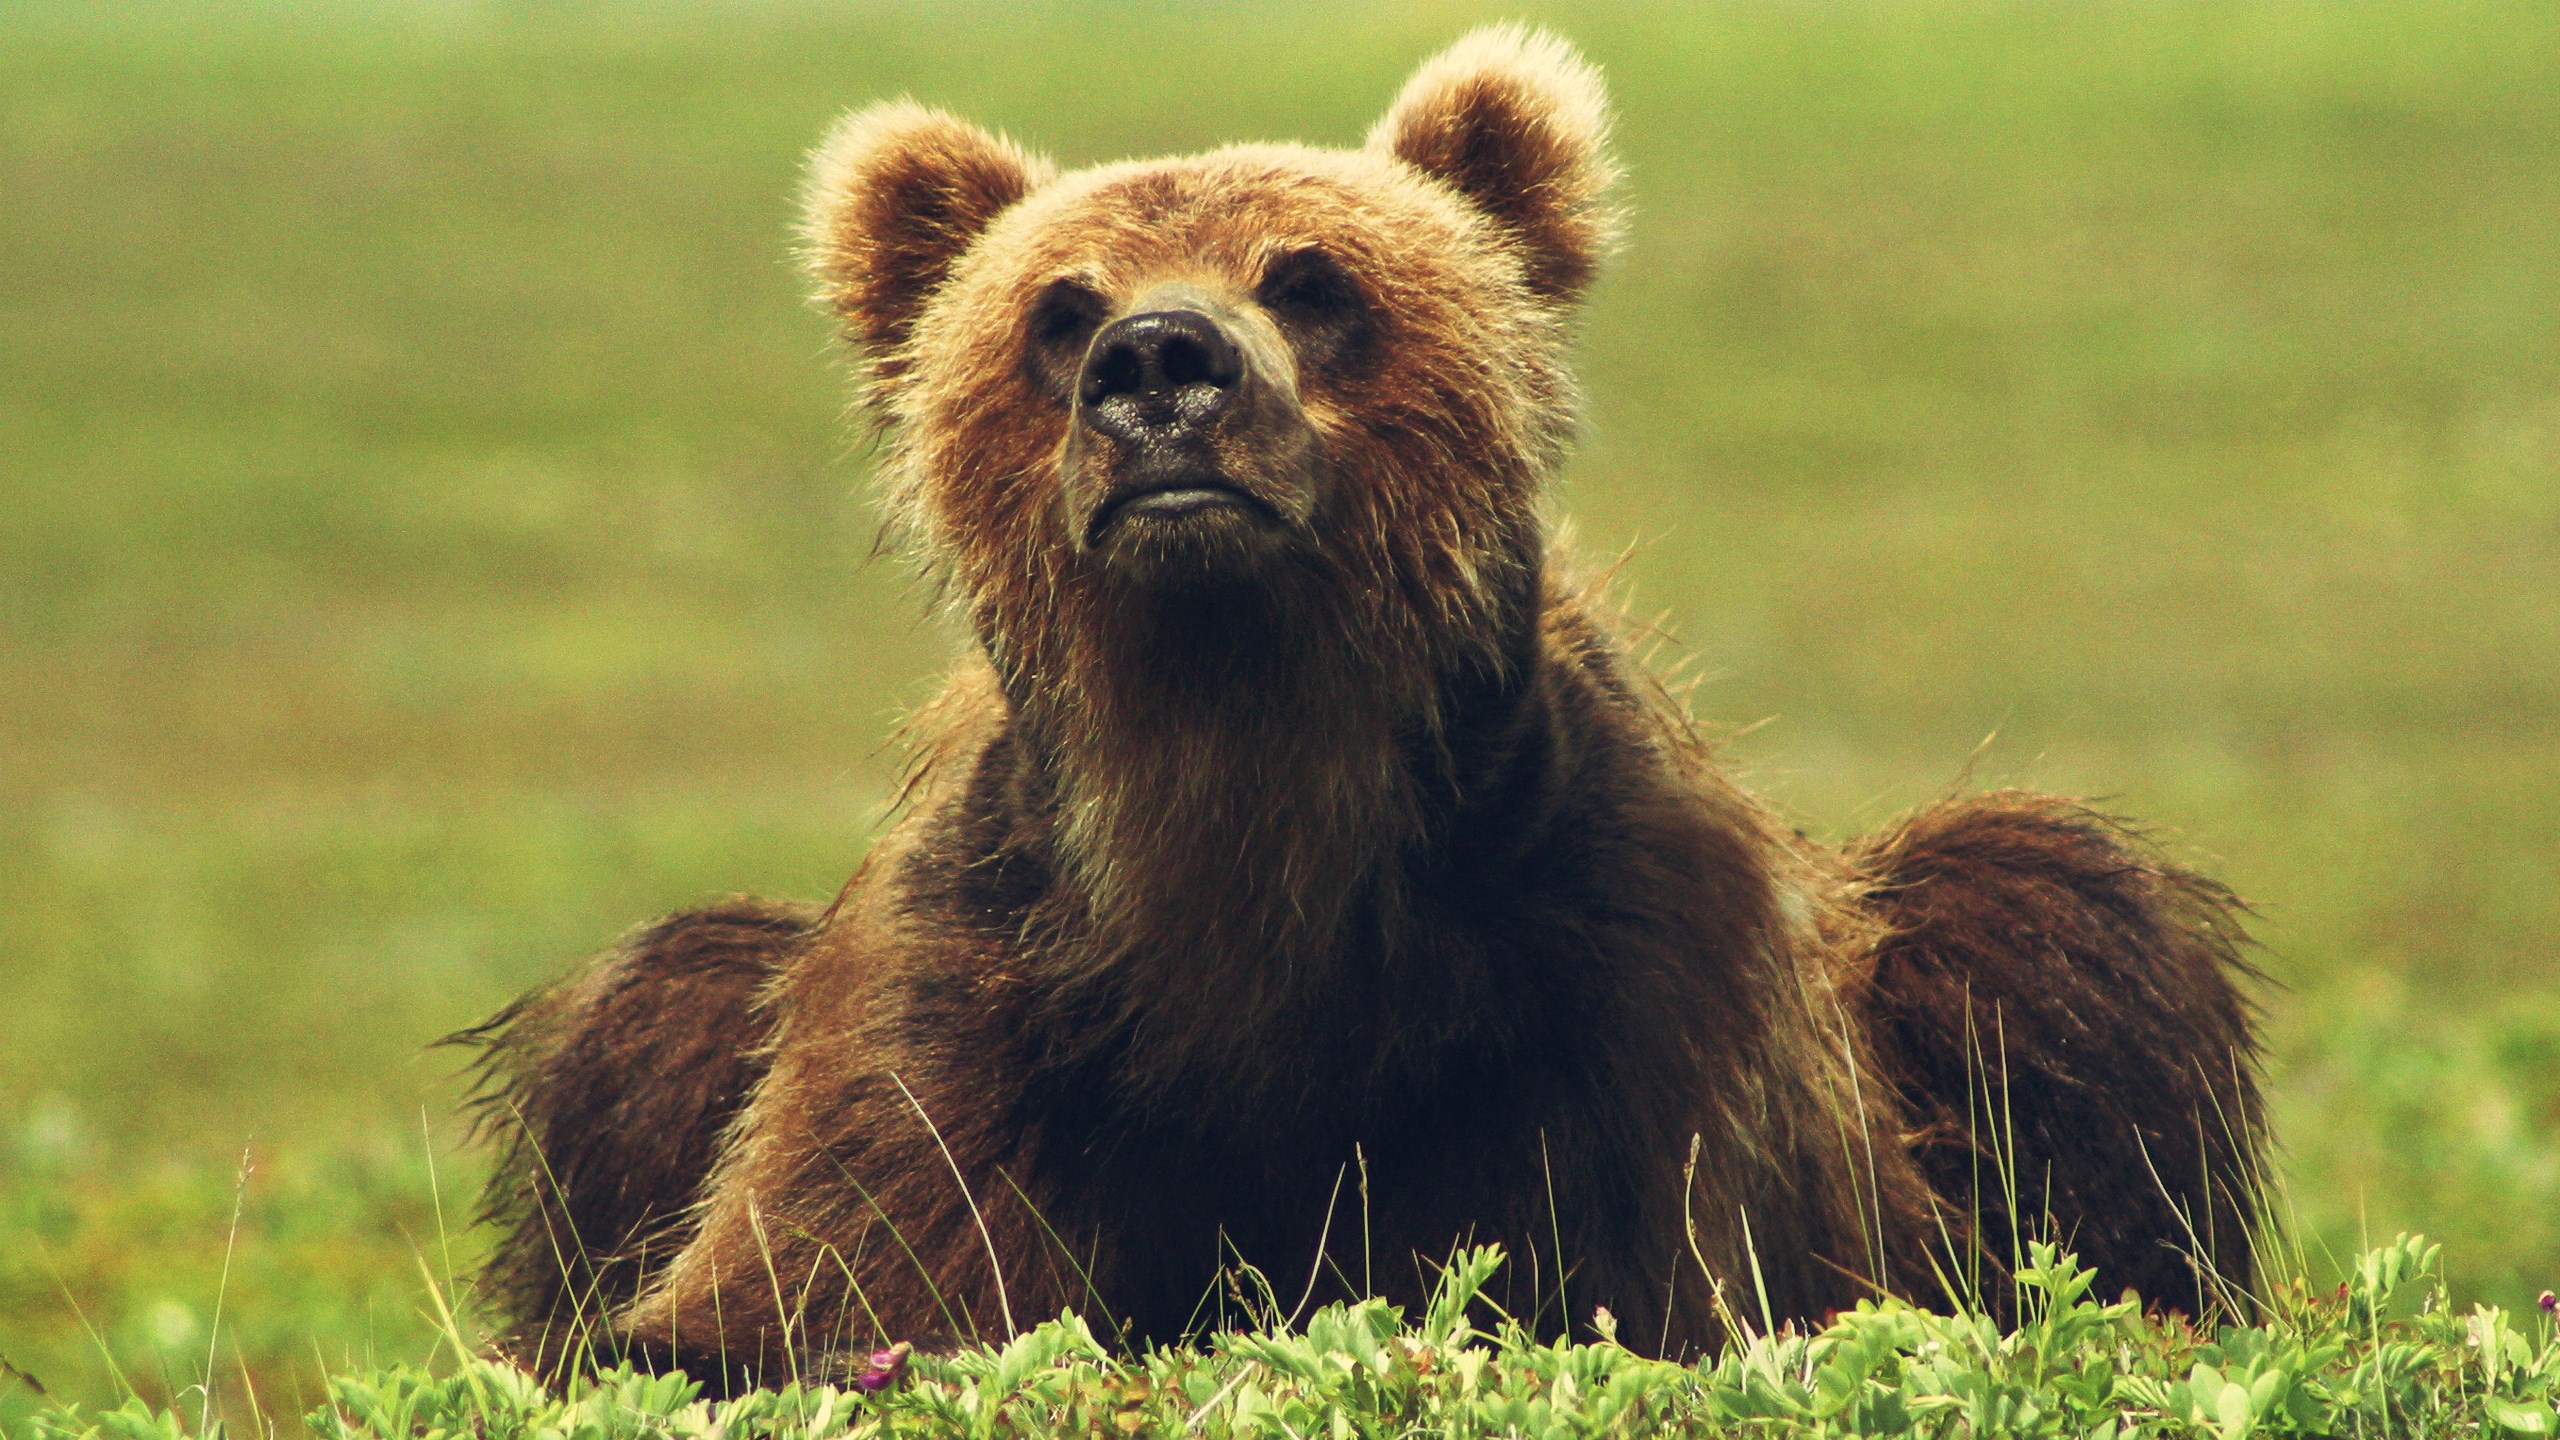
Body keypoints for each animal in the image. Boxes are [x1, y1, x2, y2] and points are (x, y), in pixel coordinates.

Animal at [457, 26, 2263, 1390]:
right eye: (1055, 306)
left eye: (1312, 277)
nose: (1160, 365)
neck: (1250, 776)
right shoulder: (973, 977)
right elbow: (809, 1288)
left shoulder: (1616, 953)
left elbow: (1654, 1275)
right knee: (658, 1002)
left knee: (2052, 913)